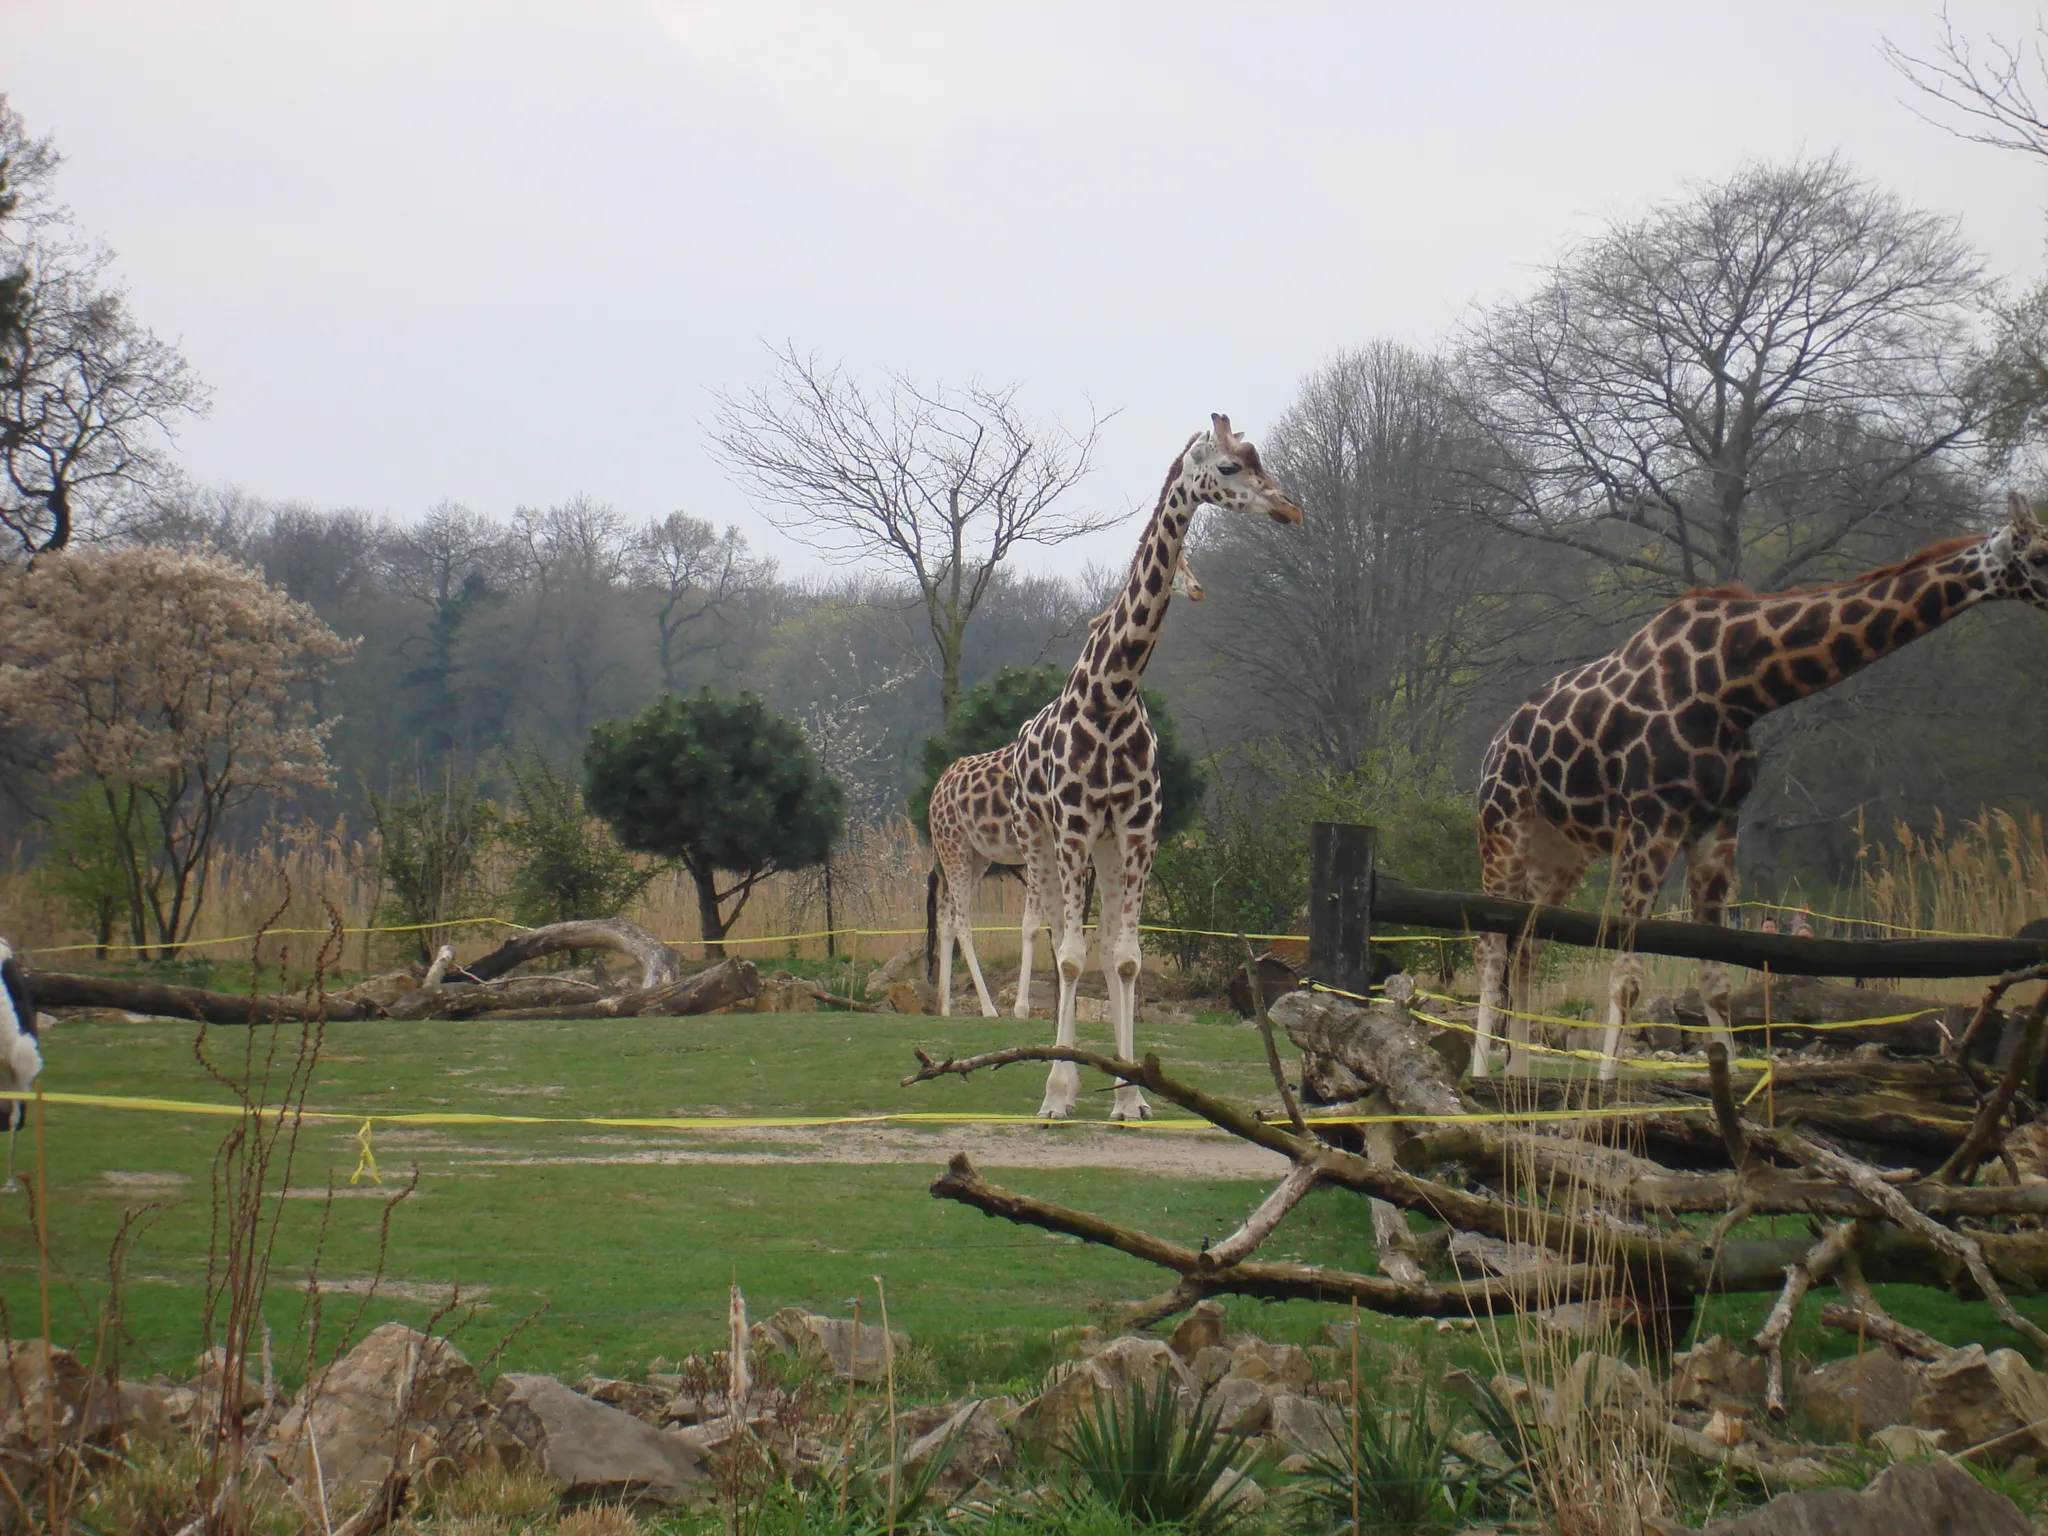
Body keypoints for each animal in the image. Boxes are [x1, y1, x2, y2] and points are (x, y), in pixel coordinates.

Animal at [925, 561, 1196, 1015]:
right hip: (955, 848)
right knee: (961, 919)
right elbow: (1035, 923)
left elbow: (1059, 924)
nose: (1195, 588)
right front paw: (1023, 1008)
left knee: (946, 915)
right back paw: (988, 1009)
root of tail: (934, 792)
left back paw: (946, 1007)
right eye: (1182, 565)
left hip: (975, 855)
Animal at [1015, 417, 1302, 1122]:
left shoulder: (1139, 829)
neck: (1113, 694)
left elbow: (1125, 958)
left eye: (1258, 459)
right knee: (1052, 938)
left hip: (1107, 845)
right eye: (1228, 467)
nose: (1290, 508)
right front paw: (1057, 1094)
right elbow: (1070, 957)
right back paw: (1058, 1077)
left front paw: (1131, 1095)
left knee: (1101, 945)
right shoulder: (1072, 827)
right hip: (1039, 838)